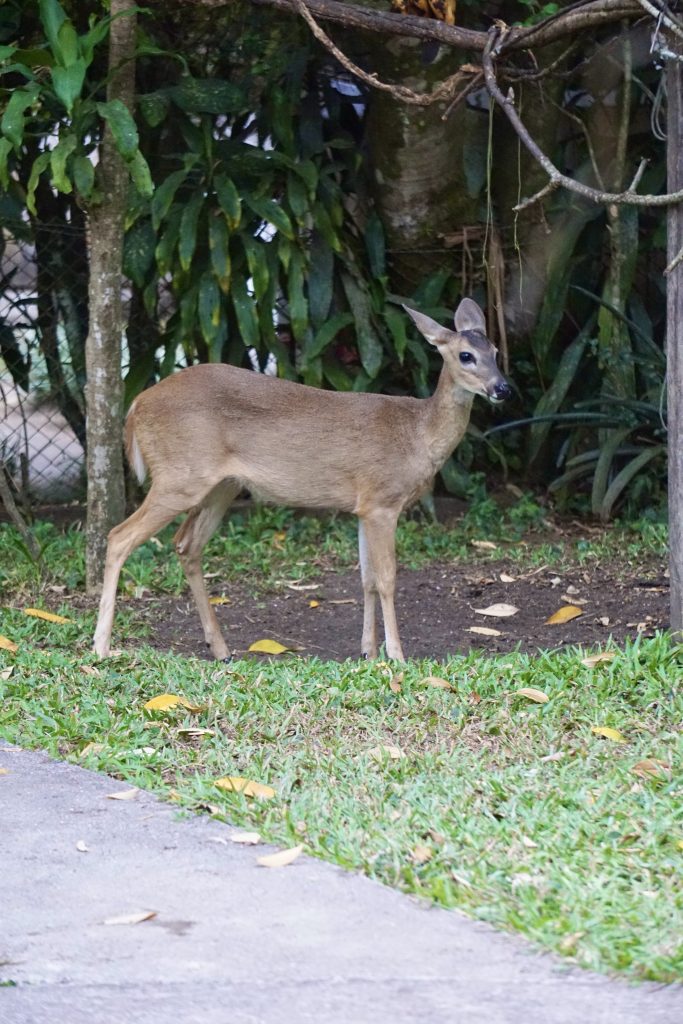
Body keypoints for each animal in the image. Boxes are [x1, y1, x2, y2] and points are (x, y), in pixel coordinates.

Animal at [94, 299, 511, 663]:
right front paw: (397, 655)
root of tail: (136, 405)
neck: (416, 435)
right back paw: (101, 646)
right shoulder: (382, 501)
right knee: (118, 537)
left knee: (186, 545)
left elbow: (366, 579)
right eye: (466, 355)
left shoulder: (363, 507)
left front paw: (368, 652)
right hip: (179, 476)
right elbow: (388, 578)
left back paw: (221, 649)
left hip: (219, 486)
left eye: (495, 350)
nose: (502, 388)